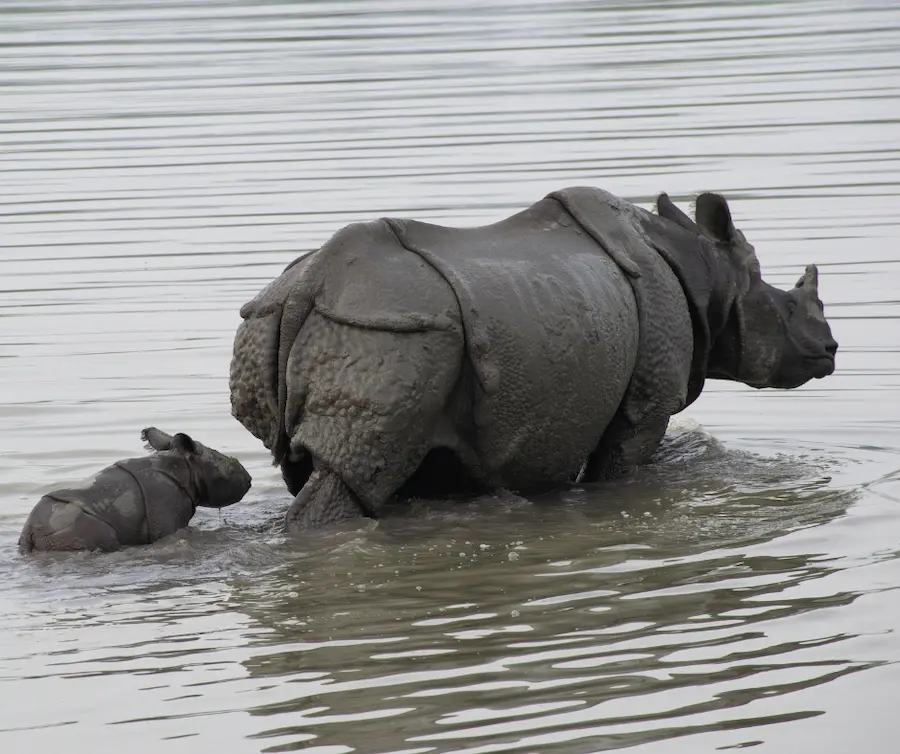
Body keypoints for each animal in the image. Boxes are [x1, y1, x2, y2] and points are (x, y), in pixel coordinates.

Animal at [19, 428, 251, 552]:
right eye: (229, 468)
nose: (248, 479)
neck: (186, 468)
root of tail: (31, 531)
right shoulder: (166, 515)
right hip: (73, 526)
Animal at [230, 187, 836, 528]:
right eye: (786, 306)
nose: (830, 350)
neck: (708, 270)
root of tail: (310, 287)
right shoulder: (647, 402)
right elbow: (624, 463)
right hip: (390, 330)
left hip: (282, 323)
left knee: (310, 469)